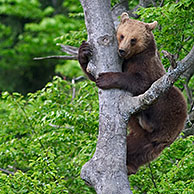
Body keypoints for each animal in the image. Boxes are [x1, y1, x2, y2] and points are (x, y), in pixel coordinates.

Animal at [78, 12, 187, 175]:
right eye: (122, 35)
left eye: (133, 39)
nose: (122, 50)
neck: (131, 57)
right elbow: (91, 71)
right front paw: (84, 51)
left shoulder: (146, 65)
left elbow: (140, 81)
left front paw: (105, 79)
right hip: (145, 138)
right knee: (136, 147)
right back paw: (130, 165)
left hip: (170, 105)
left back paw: (146, 120)